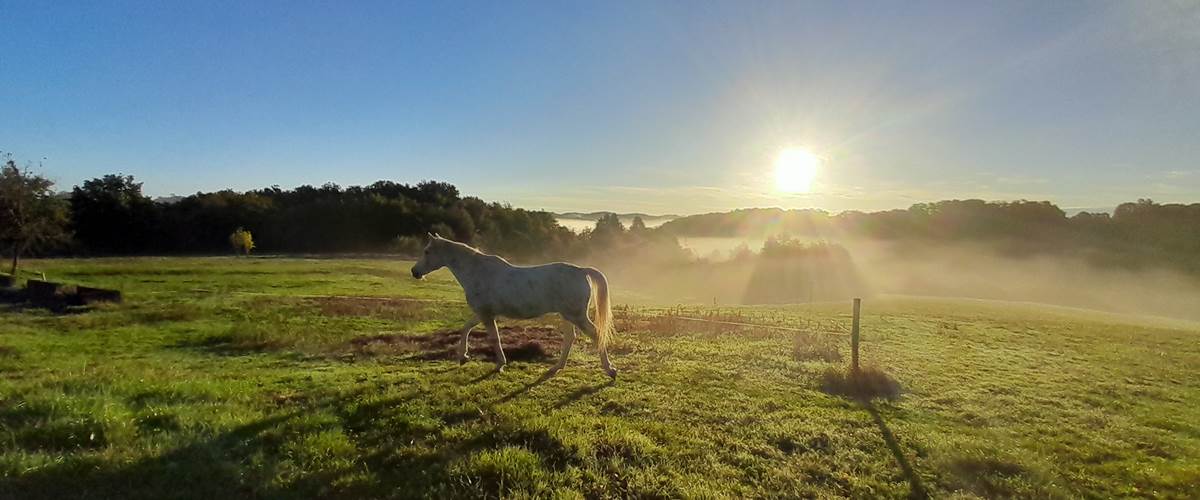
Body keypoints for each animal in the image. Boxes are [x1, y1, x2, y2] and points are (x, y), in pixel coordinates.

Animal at [412, 233, 619, 378]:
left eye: (427, 251)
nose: (415, 272)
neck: (478, 272)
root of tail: (582, 271)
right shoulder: (484, 313)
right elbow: (466, 328)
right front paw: (463, 357)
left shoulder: (486, 315)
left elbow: (494, 338)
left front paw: (500, 364)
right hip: (567, 316)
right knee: (570, 338)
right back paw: (557, 367)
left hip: (576, 316)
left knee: (596, 334)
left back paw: (610, 370)